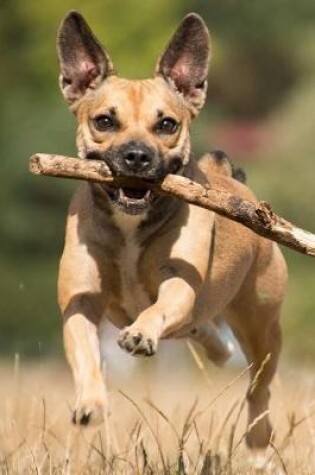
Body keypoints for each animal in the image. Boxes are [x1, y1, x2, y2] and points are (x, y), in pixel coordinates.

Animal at [56, 11, 288, 450]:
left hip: (262, 325)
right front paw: (90, 403)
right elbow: (85, 351)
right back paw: (217, 347)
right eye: (104, 121)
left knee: (260, 388)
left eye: (166, 124)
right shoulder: (81, 299)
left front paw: (141, 333)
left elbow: (160, 306)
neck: (130, 221)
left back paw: (257, 439)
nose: (136, 156)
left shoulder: (178, 283)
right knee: (207, 334)